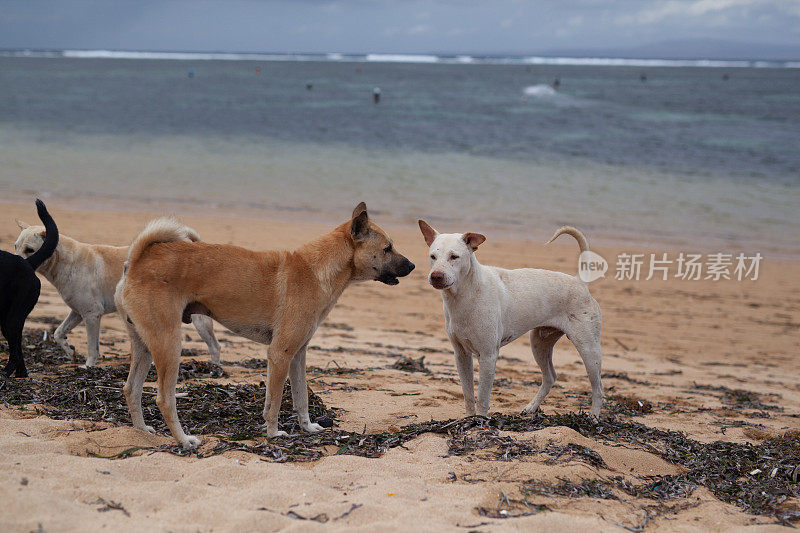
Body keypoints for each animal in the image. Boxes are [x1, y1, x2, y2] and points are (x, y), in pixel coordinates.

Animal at [0, 200, 58, 378]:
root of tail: (27, 263)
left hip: (13, 318)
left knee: (15, 352)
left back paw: (7, 372)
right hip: (6, 320)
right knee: (17, 348)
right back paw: (21, 374)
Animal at [14, 220, 222, 366]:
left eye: (30, 250)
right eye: (15, 246)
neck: (67, 262)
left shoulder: (92, 315)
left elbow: (92, 347)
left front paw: (88, 367)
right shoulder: (77, 312)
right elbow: (58, 333)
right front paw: (70, 352)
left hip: (199, 321)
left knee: (215, 346)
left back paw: (214, 370)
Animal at [116, 204, 416, 448]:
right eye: (387, 248)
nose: (413, 265)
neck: (316, 271)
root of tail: (138, 260)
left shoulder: (298, 355)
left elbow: (299, 398)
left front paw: (308, 428)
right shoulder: (280, 354)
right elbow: (276, 401)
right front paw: (273, 434)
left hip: (145, 344)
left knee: (131, 389)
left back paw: (141, 430)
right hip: (169, 345)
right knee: (164, 400)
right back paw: (184, 440)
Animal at [418, 220, 600, 416]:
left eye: (454, 257)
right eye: (433, 256)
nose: (436, 276)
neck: (465, 295)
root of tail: (580, 282)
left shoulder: (488, 356)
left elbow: (482, 399)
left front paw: (479, 421)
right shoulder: (461, 355)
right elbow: (468, 395)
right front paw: (468, 419)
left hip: (588, 349)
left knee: (598, 388)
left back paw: (593, 417)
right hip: (539, 343)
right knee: (550, 377)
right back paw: (531, 408)